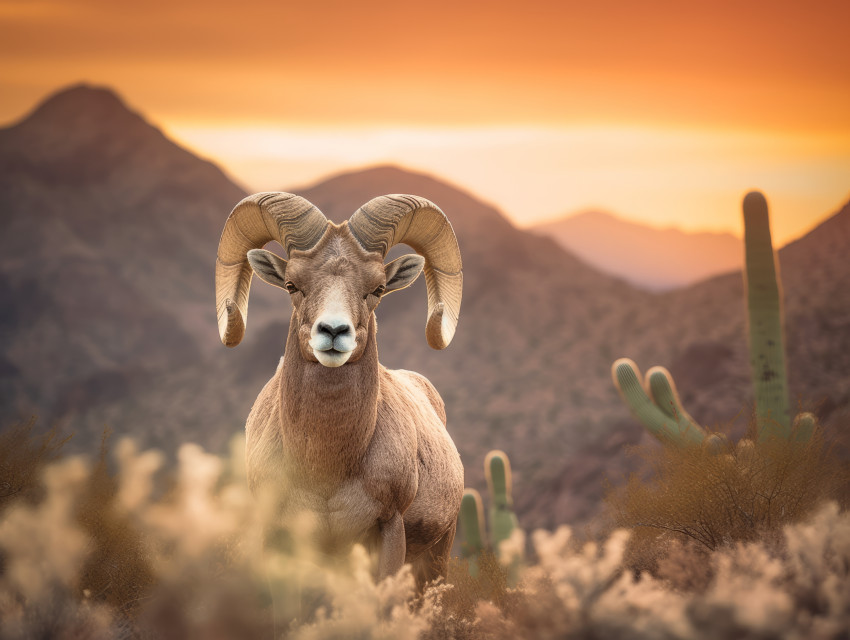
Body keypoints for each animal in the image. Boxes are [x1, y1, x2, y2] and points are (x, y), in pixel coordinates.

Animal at [214, 192, 464, 588]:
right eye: (292, 285)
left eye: (377, 289)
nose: (333, 331)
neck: (326, 470)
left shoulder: (390, 530)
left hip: (437, 554)